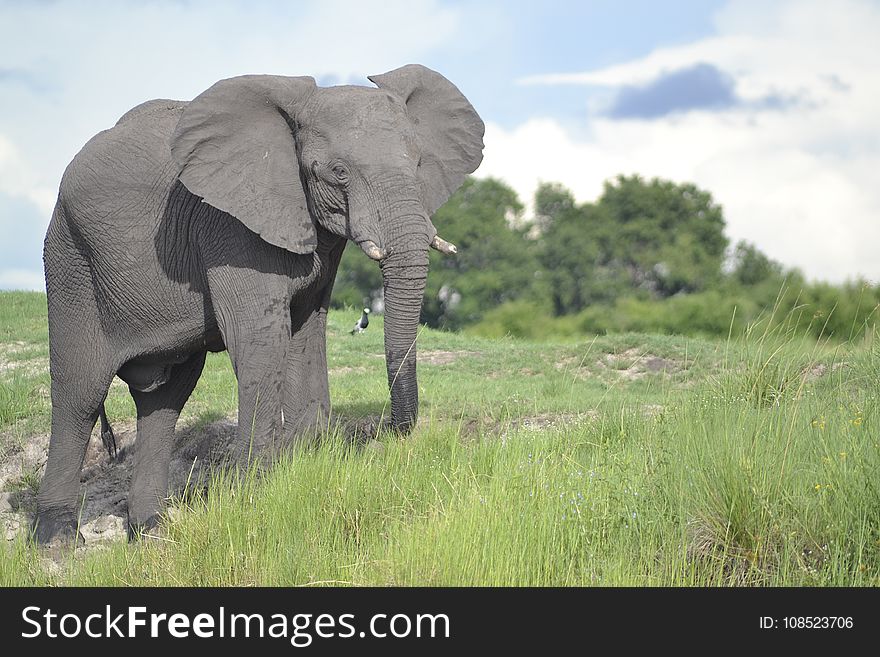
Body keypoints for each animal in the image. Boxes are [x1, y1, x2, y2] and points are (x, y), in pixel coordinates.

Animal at [34, 64, 484, 544]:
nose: (385, 429)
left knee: (165, 400)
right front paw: (254, 496)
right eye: (339, 172)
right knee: (80, 393)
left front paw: (303, 460)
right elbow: (263, 342)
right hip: (70, 259)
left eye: (418, 163)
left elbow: (307, 331)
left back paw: (152, 531)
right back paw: (58, 542)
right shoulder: (230, 225)